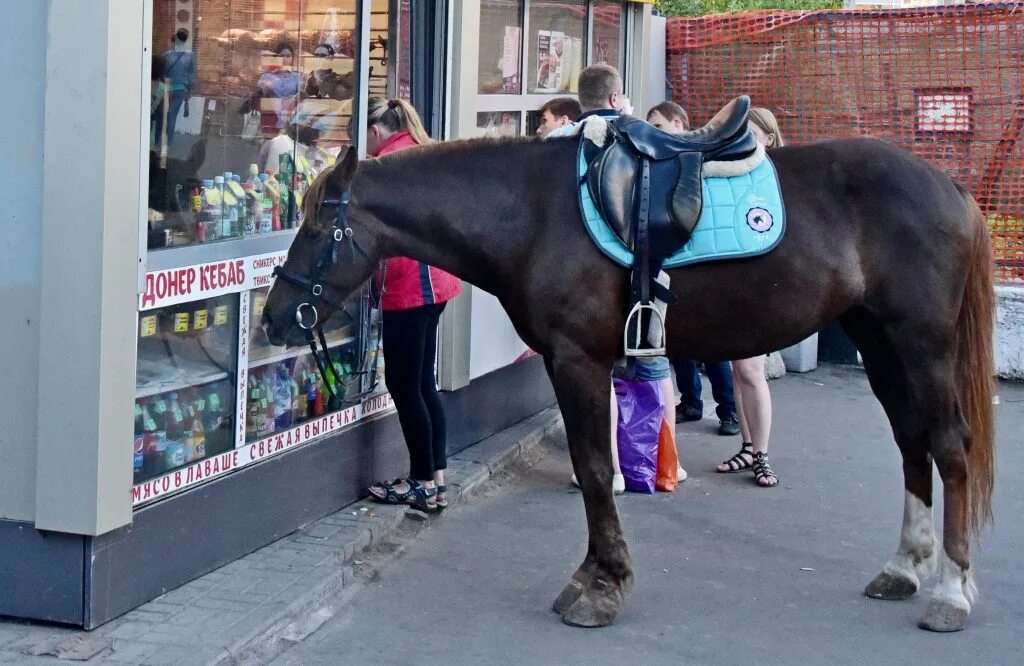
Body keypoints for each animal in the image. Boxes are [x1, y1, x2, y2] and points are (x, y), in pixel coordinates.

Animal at [262, 132, 991, 631]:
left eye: (318, 227)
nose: (274, 317)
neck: (532, 214)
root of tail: (952, 187)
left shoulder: (577, 359)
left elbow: (591, 468)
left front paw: (601, 585)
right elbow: (596, 465)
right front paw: (599, 575)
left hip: (922, 345)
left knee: (950, 447)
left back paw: (951, 592)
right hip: (879, 342)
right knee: (912, 442)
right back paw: (904, 567)